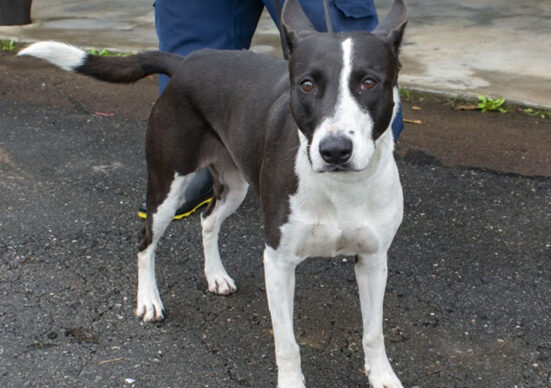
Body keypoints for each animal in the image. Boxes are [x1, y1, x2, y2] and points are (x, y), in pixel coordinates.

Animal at [19, 1, 408, 386]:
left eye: (369, 82)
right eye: (307, 84)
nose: (335, 150)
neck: (342, 189)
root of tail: (186, 62)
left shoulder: (374, 260)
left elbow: (373, 332)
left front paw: (382, 376)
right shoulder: (278, 262)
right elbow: (287, 343)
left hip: (236, 185)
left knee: (208, 220)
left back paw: (215, 275)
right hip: (166, 185)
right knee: (145, 240)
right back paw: (148, 299)